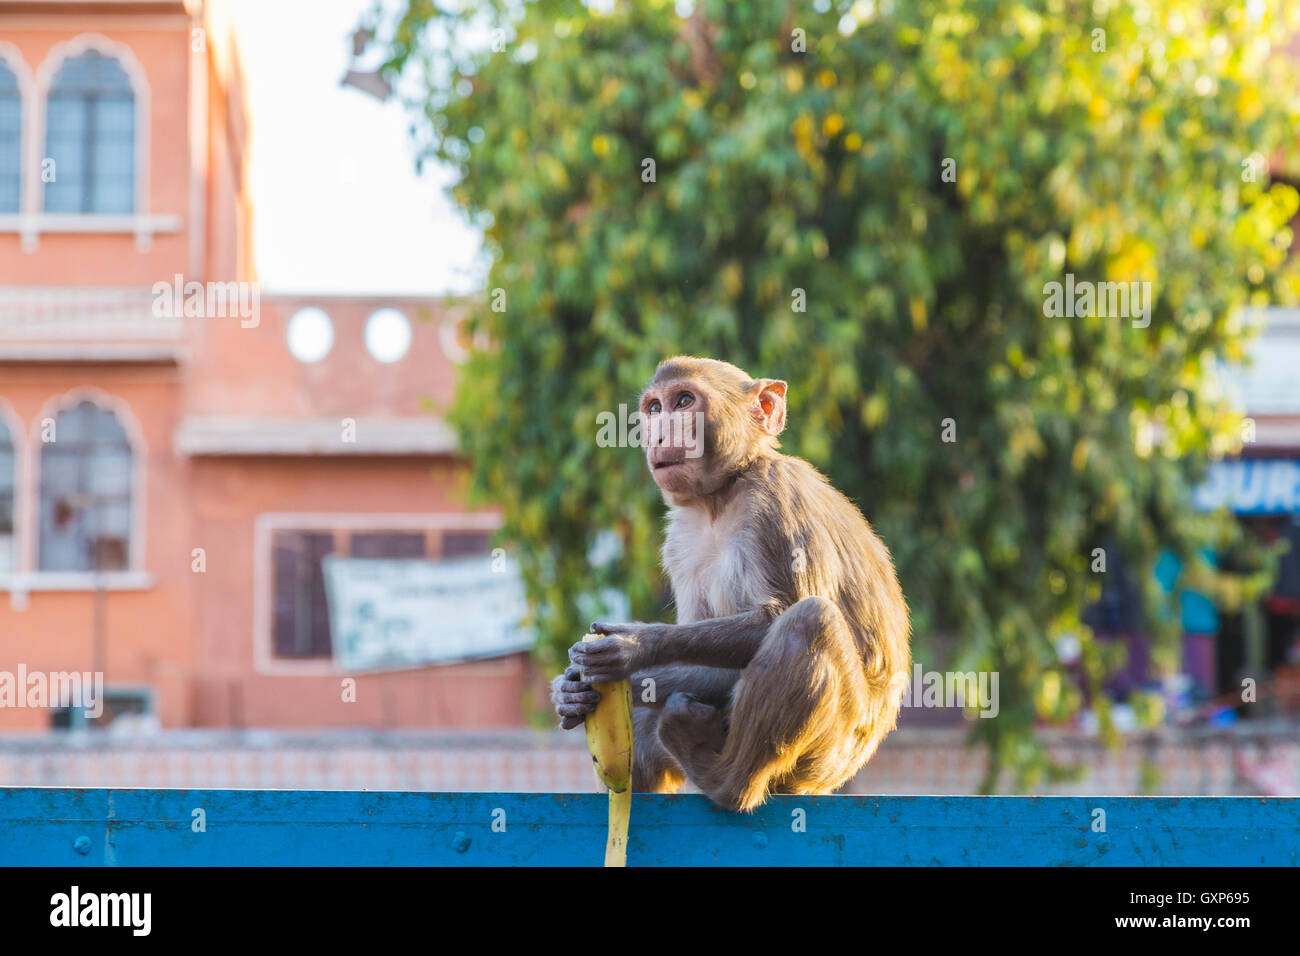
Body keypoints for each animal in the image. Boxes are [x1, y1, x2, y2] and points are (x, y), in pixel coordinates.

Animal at [552, 356, 910, 812]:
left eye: (684, 402)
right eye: (655, 408)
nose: (661, 433)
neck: (719, 497)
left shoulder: (777, 497)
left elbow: (780, 613)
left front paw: (636, 645)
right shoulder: (679, 538)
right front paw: (570, 691)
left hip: (824, 755)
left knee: (809, 621)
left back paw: (726, 779)